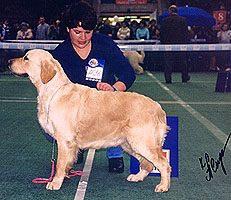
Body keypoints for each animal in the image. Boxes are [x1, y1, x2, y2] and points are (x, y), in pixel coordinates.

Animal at [8, 49, 171, 192]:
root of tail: (158, 107)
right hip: (130, 143)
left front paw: (55, 182)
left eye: (26, 58)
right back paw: (137, 177)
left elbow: (59, 164)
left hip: (142, 142)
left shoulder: (64, 139)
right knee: (148, 164)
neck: (53, 91)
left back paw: (163, 186)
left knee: (163, 164)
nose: (9, 61)